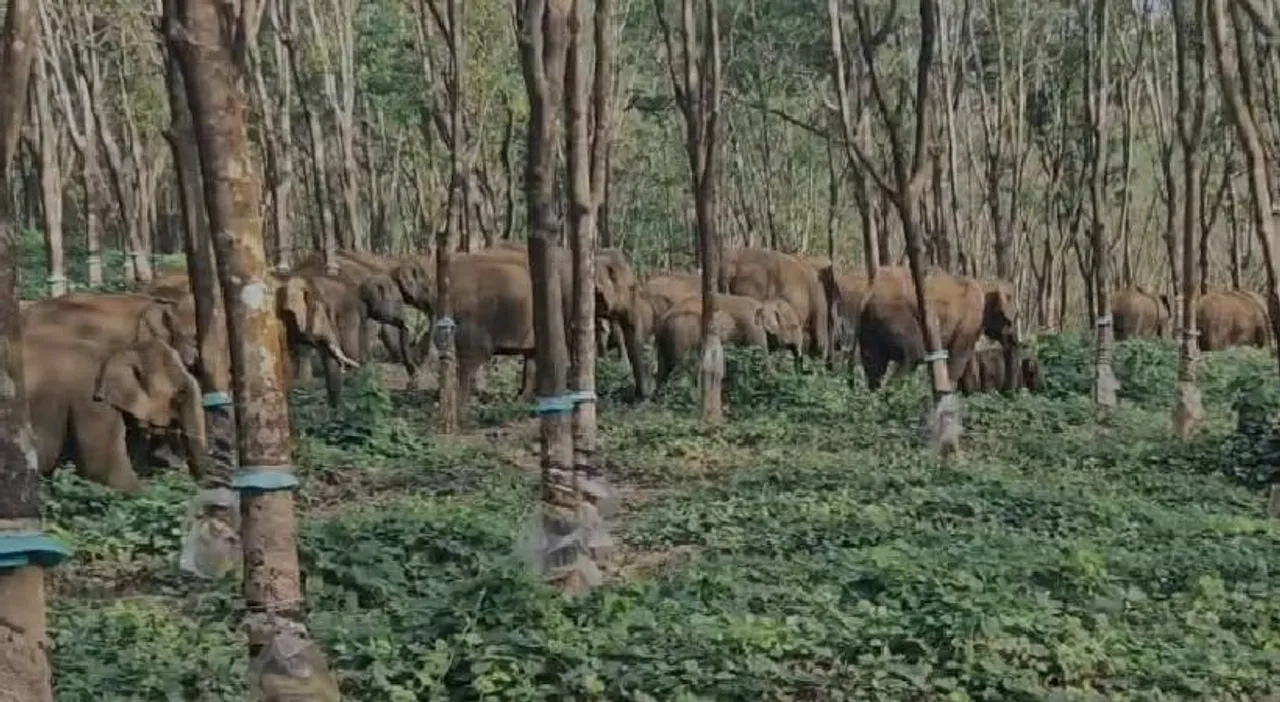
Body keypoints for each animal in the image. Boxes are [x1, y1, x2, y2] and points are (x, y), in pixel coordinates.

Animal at [653, 293, 802, 389]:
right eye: (794, 326)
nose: (798, 377)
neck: (763, 302)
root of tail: (664, 317)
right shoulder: (753, 328)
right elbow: (761, 362)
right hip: (681, 334)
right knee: (681, 370)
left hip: (665, 339)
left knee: (663, 370)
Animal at [856, 266, 1019, 392]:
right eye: (1010, 320)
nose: (1016, 342)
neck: (985, 284)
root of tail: (869, 296)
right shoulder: (970, 319)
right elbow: (958, 356)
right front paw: (950, 391)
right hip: (894, 316)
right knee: (912, 356)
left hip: (869, 328)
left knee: (874, 367)